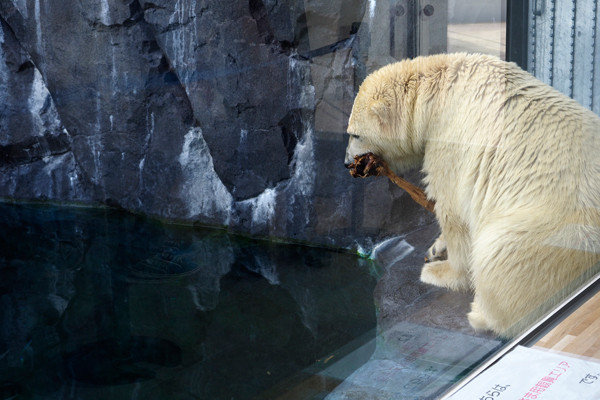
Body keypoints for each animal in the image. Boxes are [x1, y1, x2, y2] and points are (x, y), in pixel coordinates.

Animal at [344, 51, 600, 336]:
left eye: (355, 134)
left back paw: (481, 314)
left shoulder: (451, 140)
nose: (346, 162)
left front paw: (440, 271)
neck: (438, 94)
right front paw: (436, 247)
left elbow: (454, 213)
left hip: (558, 231)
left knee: (499, 251)